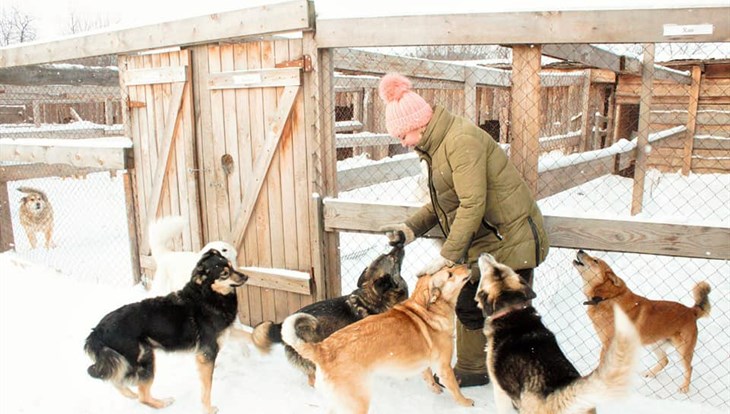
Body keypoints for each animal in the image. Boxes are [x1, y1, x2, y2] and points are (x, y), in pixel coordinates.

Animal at [85, 249, 247, 414]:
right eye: (224, 274)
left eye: (231, 266)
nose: (246, 276)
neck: (208, 295)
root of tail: (96, 332)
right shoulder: (207, 355)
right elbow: (206, 389)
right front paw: (208, 409)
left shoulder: (225, 334)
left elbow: (246, 336)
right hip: (145, 358)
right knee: (142, 395)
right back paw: (162, 403)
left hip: (126, 362)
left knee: (117, 381)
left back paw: (131, 394)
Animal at [278, 266, 472, 414]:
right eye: (450, 274)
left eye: (450, 267)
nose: (466, 265)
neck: (427, 310)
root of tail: (322, 349)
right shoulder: (444, 366)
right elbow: (454, 388)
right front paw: (465, 402)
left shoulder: (427, 363)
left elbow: (429, 377)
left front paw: (435, 388)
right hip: (358, 400)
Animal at [572, 249, 708, 392]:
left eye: (595, 261)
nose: (580, 250)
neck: (606, 297)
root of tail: (691, 311)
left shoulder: (608, 345)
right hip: (656, 344)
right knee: (665, 361)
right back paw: (650, 373)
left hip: (682, 350)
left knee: (689, 368)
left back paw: (684, 388)